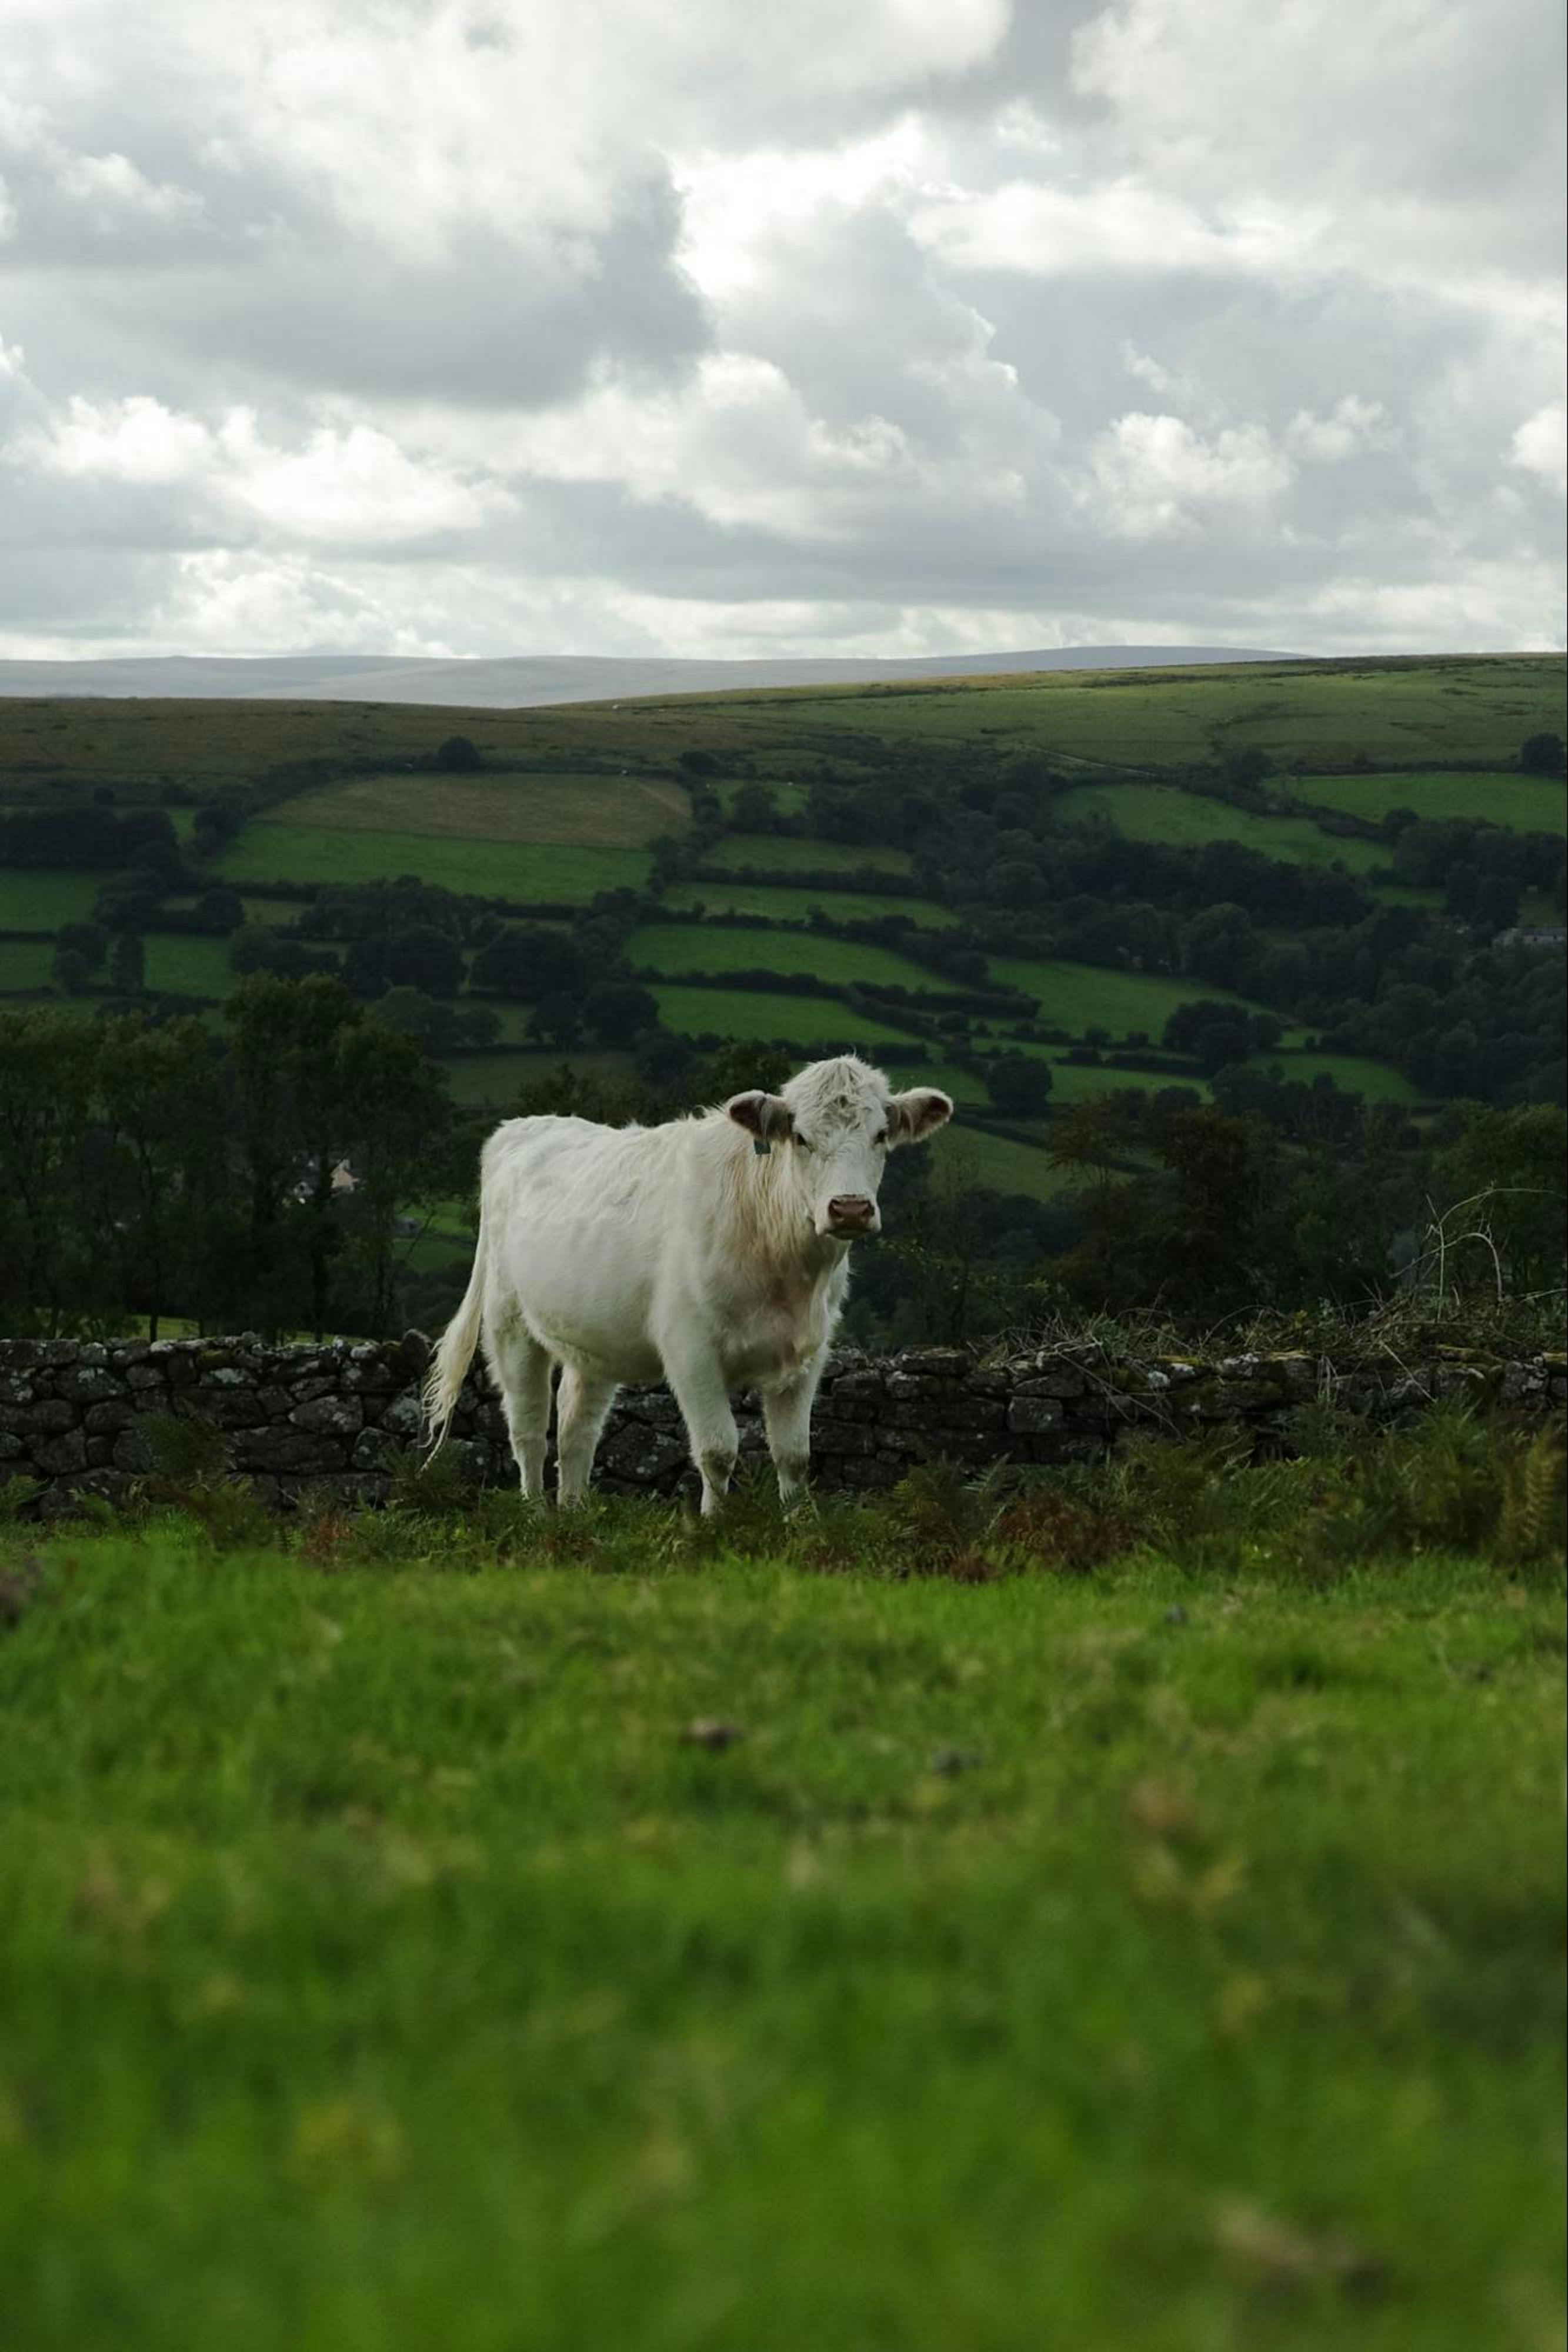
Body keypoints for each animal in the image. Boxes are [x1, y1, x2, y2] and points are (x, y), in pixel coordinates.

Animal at [423, 1058, 949, 1514]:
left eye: (881, 1135)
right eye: (800, 1137)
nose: (850, 1208)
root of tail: (521, 1127)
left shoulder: (808, 1354)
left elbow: (795, 1456)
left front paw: (800, 1528)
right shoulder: (690, 1349)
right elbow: (718, 1451)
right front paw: (714, 1528)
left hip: (592, 1338)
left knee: (576, 1429)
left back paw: (574, 1516)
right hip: (510, 1324)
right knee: (529, 1428)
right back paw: (535, 1515)